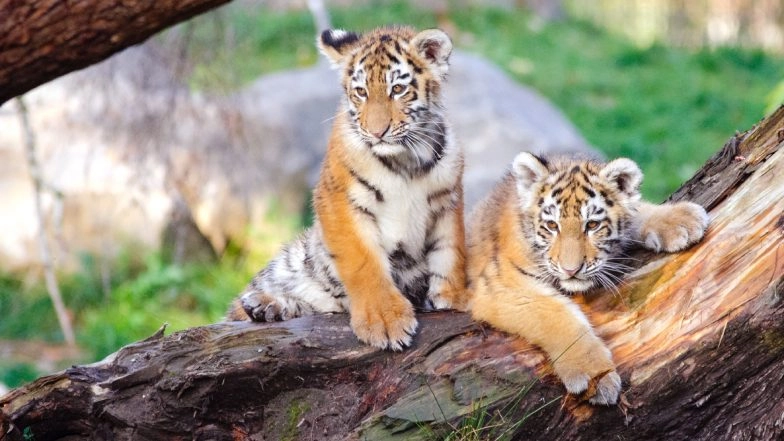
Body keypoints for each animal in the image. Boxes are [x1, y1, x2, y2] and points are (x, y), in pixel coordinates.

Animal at [226, 26, 469, 351]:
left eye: (398, 89)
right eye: (361, 92)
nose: (377, 132)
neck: (405, 160)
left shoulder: (447, 200)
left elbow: (450, 251)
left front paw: (455, 298)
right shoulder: (339, 201)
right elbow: (364, 263)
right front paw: (385, 322)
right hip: (290, 263)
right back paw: (262, 304)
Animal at [467, 151, 709, 405]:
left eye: (592, 225)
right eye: (552, 225)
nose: (571, 270)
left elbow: (636, 211)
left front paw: (682, 219)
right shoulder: (503, 285)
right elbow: (558, 316)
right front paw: (595, 376)